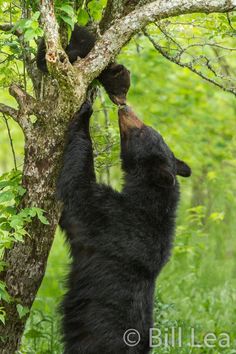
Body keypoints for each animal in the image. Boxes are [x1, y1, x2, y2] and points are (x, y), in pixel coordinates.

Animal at [57, 101, 192, 352]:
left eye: (143, 132)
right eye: (150, 128)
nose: (125, 107)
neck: (148, 201)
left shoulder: (112, 219)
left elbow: (76, 187)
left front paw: (85, 113)